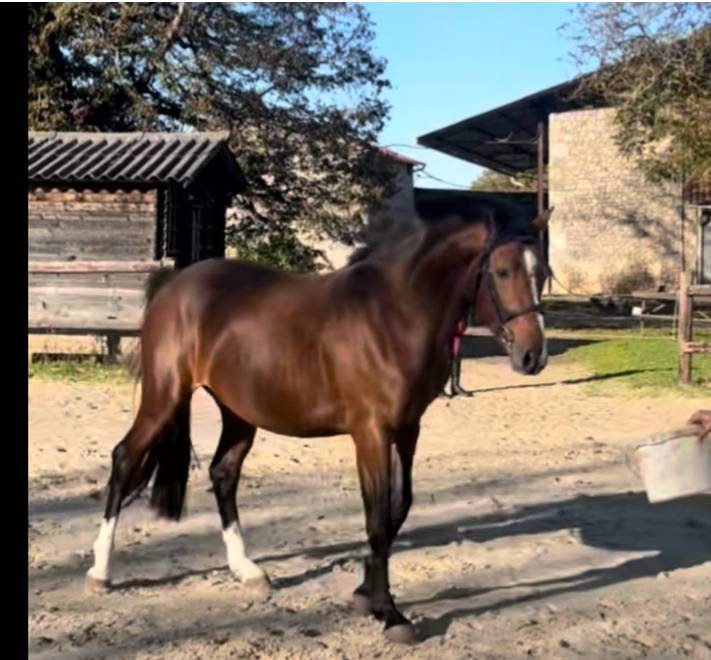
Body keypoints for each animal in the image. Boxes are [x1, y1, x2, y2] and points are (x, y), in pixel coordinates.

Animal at [85, 202, 549, 645]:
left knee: (223, 474)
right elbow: (377, 517)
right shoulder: (371, 434)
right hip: (164, 399)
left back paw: (246, 569)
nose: (533, 356)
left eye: (542, 273)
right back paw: (100, 572)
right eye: (502, 271)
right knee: (125, 458)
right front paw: (389, 614)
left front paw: (365, 595)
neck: (395, 314)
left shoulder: (408, 431)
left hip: (239, 412)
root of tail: (174, 284)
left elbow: (398, 509)